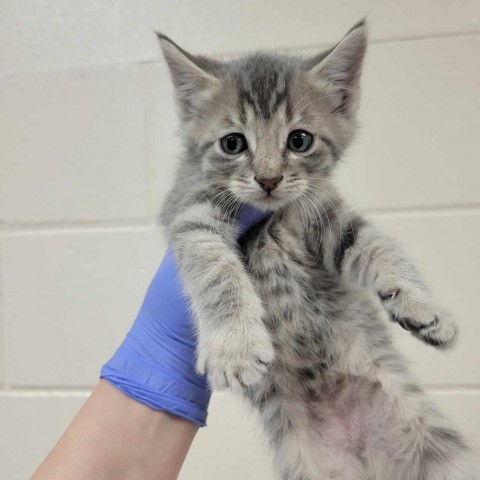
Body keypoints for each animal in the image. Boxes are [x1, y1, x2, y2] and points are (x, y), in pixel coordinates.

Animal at [158, 20, 476, 478]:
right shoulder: (190, 214)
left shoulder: (329, 216)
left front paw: (424, 306)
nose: (268, 179)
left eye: (300, 140)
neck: (269, 218)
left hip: (438, 450)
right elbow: (215, 270)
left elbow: (379, 245)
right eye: (233, 143)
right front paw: (235, 346)